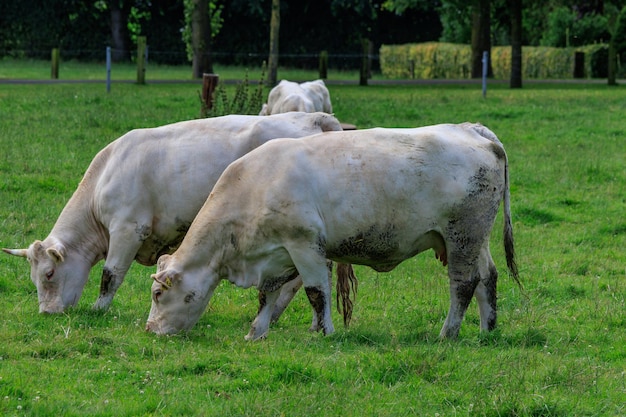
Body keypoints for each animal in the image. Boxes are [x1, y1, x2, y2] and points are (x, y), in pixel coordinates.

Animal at [2, 110, 342, 312]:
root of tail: (313, 116)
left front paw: (99, 310)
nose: (47, 313)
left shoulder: (128, 229)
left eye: (48, 274)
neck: (104, 176)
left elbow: (110, 275)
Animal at [145, 122, 516, 340]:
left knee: (464, 284)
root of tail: (473, 130)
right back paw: (487, 330)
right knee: (488, 277)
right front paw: (256, 331)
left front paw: (325, 332)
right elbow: (267, 294)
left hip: (463, 236)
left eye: (158, 293)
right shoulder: (276, 253)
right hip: (475, 239)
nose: (149, 328)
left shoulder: (305, 246)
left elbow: (316, 292)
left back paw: (447, 333)